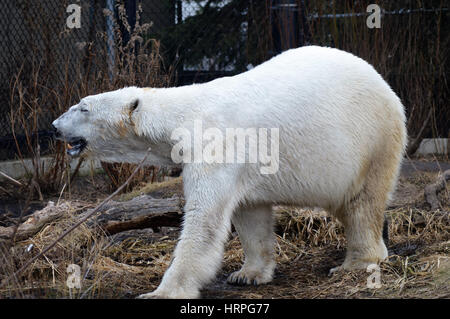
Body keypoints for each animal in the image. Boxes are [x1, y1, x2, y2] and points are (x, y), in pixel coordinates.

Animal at [51, 46, 408, 298]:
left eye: (83, 107)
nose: (54, 125)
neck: (185, 116)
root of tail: (384, 83)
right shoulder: (244, 167)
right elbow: (250, 214)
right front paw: (248, 274)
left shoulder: (215, 148)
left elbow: (204, 221)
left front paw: (161, 292)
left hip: (370, 139)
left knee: (363, 202)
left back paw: (358, 263)